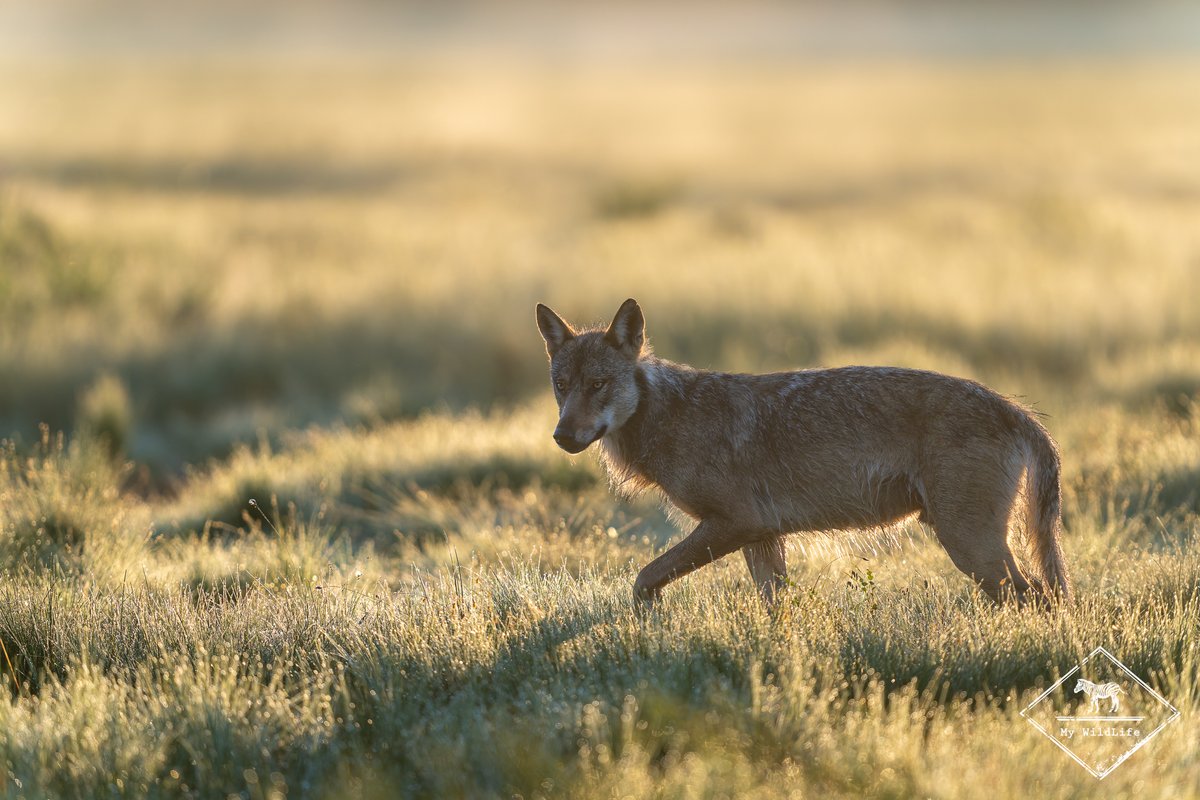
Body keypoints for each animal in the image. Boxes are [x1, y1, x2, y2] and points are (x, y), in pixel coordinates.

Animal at [535, 298, 1071, 608]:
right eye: (561, 386)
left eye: (598, 385)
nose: (562, 436)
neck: (669, 415)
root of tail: (1018, 411)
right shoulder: (762, 537)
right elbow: (777, 610)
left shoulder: (736, 523)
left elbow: (643, 578)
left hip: (970, 547)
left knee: (1038, 597)